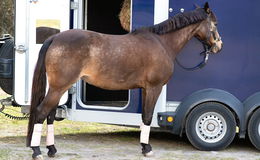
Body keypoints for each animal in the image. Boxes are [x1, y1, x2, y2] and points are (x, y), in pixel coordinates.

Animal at [26, 2, 222, 160]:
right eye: (215, 24)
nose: (219, 46)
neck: (161, 43)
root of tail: (55, 38)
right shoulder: (154, 88)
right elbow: (149, 116)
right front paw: (147, 149)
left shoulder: (145, 89)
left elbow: (144, 116)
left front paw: (143, 146)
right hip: (58, 87)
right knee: (41, 112)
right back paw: (37, 151)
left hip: (59, 88)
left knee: (50, 115)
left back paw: (52, 149)